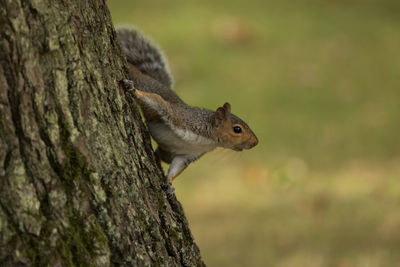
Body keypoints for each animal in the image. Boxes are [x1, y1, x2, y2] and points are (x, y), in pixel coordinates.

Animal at [117, 26, 258, 191]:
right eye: (237, 129)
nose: (255, 143)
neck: (205, 139)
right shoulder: (178, 117)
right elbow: (159, 102)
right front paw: (134, 91)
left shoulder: (187, 155)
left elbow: (176, 168)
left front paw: (169, 183)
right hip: (141, 80)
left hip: (167, 152)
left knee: (160, 155)